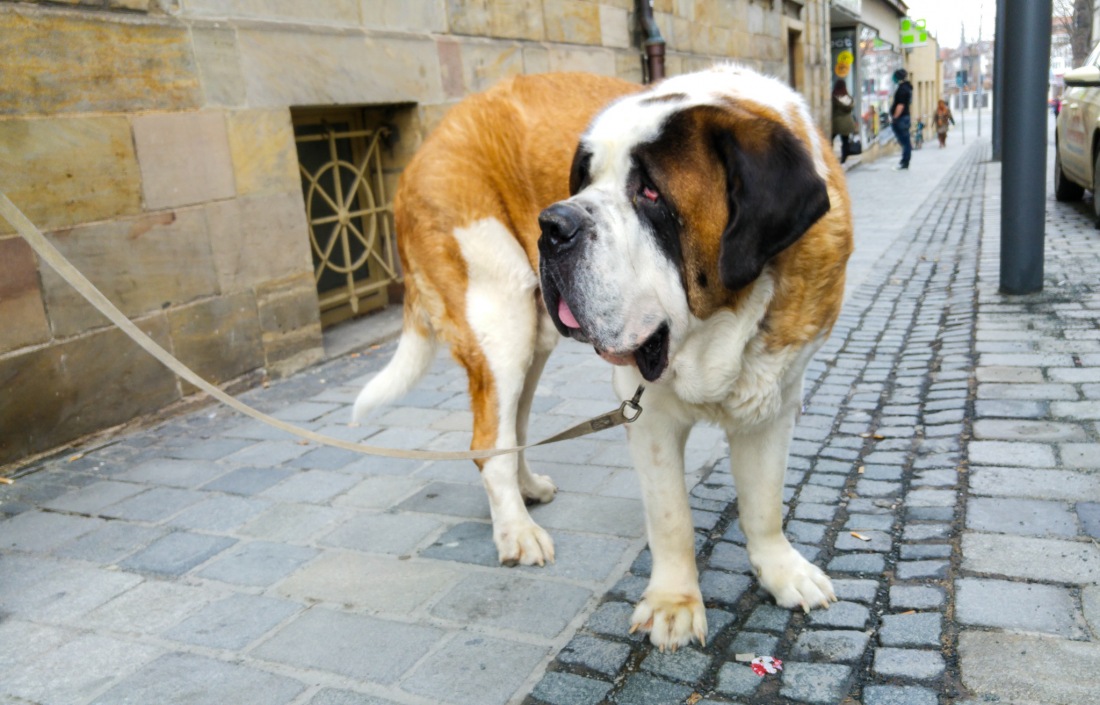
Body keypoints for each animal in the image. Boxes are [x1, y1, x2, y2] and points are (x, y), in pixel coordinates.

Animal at [356, 65, 853, 651]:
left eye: (651, 191)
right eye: (583, 180)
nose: (553, 224)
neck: (719, 327)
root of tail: (424, 150)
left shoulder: (776, 397)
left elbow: (765, 502)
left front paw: (783, 572)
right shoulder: (649, 412)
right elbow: (671, 515)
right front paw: (673, 606)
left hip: (536, 335)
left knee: (513, 423)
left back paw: (528, 489)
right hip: (499, 315)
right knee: (488, 441)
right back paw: (517, 531)